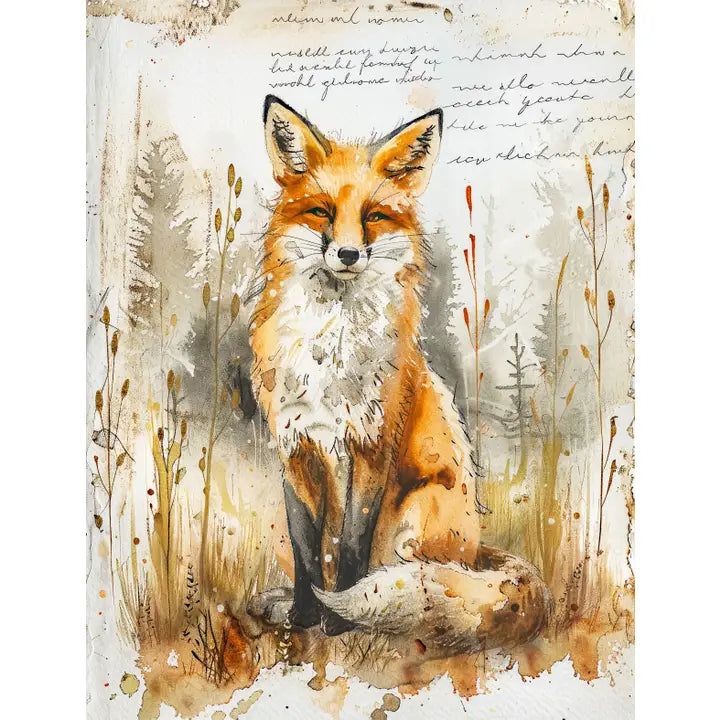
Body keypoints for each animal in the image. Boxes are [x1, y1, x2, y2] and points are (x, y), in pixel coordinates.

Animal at [247, 94, 551, 655]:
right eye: (322, 211)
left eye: (373, 216)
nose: (347, 254)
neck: (331, 355)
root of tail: (477, 553)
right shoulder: (294, 449)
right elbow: (306, 551)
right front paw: (303, 615)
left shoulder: (371, 443)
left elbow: (350, 546)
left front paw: (336, 621)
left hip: (417, 520)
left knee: (414, 580)